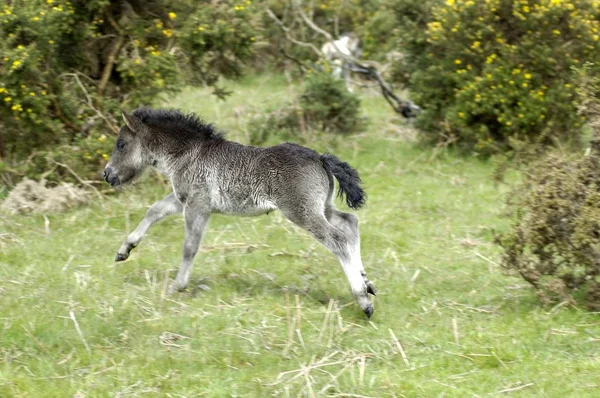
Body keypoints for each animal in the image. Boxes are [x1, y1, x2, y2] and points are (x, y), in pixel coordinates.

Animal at [102, 106, 376, 318]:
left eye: (121, 144)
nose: (107, 174)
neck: (188, 154)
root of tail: (321, 158)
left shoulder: (197, 205)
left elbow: (190, 246)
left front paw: (176, 287)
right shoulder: (183, 199)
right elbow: (154, 210)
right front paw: (124, 250)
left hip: (302, 212)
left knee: (338, 239)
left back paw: (363, 299)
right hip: (322, 207)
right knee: (350, 223)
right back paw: (366, 282)